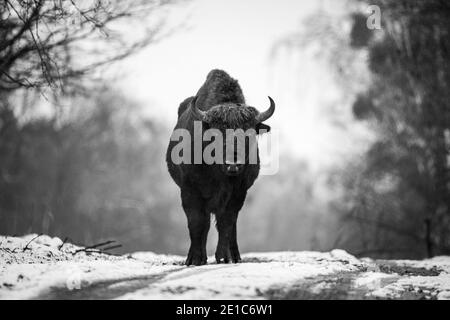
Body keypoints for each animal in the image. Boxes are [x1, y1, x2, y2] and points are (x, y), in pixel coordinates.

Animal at [168, 69, 276, 264]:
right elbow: (197, 223)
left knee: (230, 227)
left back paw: (235, 256)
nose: (233, 164)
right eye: (216, 133)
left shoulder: (238, 193)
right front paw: (195, 259)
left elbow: (226, 223)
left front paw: (224, 257)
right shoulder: (190, 191)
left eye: (249, 132)